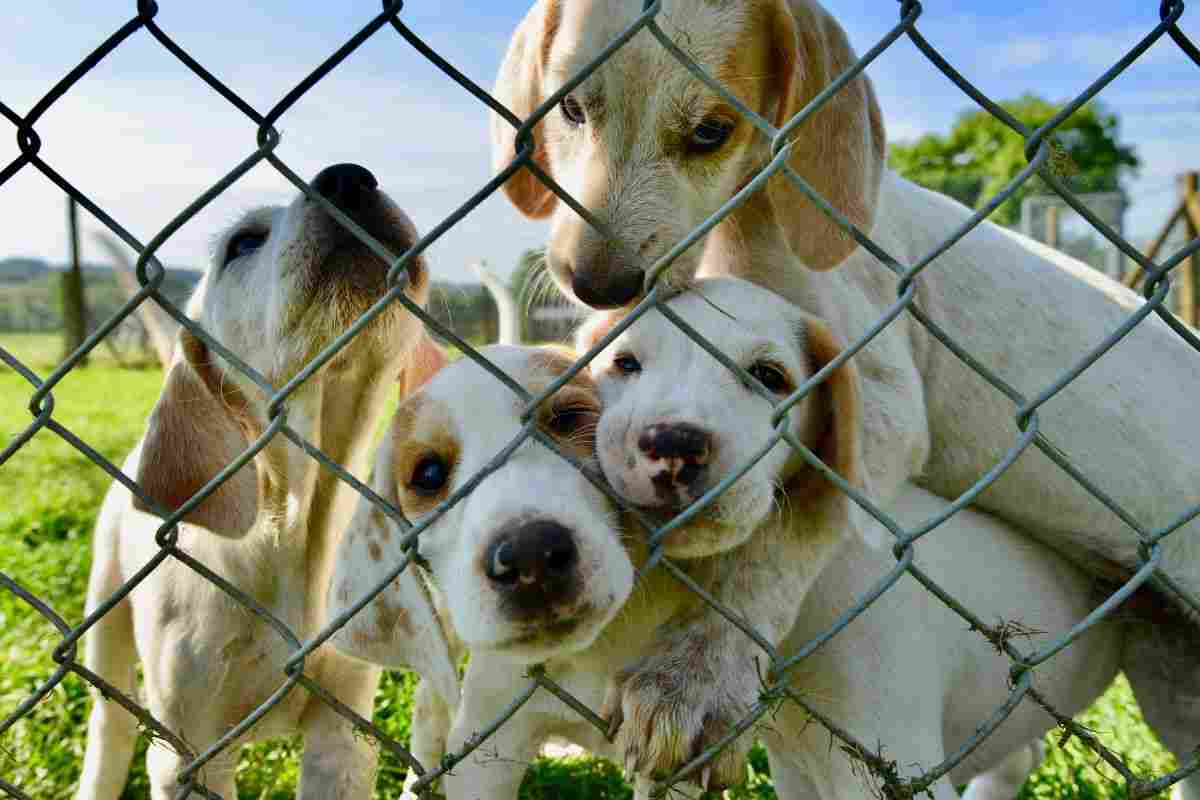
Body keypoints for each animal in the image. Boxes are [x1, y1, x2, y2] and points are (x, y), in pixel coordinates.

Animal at [75, 164, 455, 800]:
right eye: (243, 243)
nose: (348, 178)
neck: (291, 533)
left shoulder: (341, 735)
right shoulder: (187, 756)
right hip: (106, 616)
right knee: (110, 727)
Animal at [491, 1, 1200, 778]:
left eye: (711, 132)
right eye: (571, 108)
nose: (595, 282)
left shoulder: (876, 409)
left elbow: (782, 533)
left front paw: (694, 675)